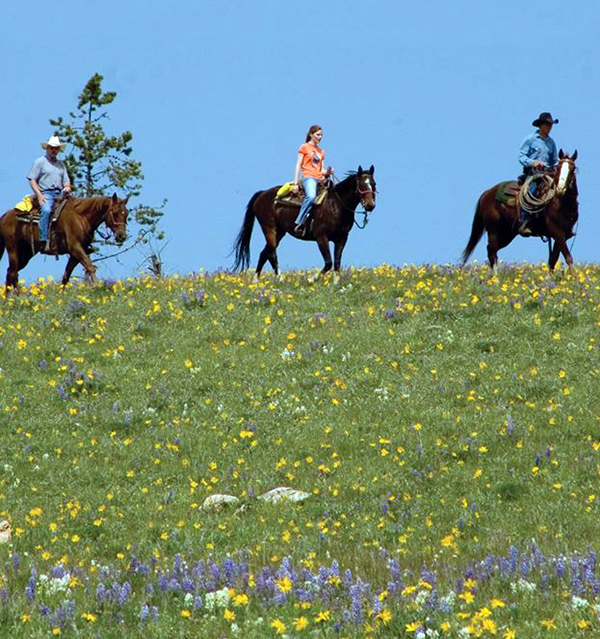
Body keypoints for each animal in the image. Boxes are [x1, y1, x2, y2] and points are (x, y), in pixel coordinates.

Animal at [0, 192, 129, 288]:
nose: (122, 236)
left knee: (10, 272)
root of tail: (6, 215)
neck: (81, 218)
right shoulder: (76, 248)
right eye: (115, 212)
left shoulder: (76, 254)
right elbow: (90, 267)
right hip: (13, 249)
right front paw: (98, 287)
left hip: (26, 254)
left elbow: (66, 276)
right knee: (13, 273)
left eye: (126, 214)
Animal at [233, 165, 378, 276]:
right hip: (269, 228)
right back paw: (279, 279)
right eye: (361, 184)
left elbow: (337, 264)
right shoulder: (321, 237)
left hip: (280, 232)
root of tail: (262, 193)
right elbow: (328, 263)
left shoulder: (341, 238)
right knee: (272, 254)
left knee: (264, 253)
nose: (370, 205)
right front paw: (312, 280)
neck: (337, 205)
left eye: (374, 184)